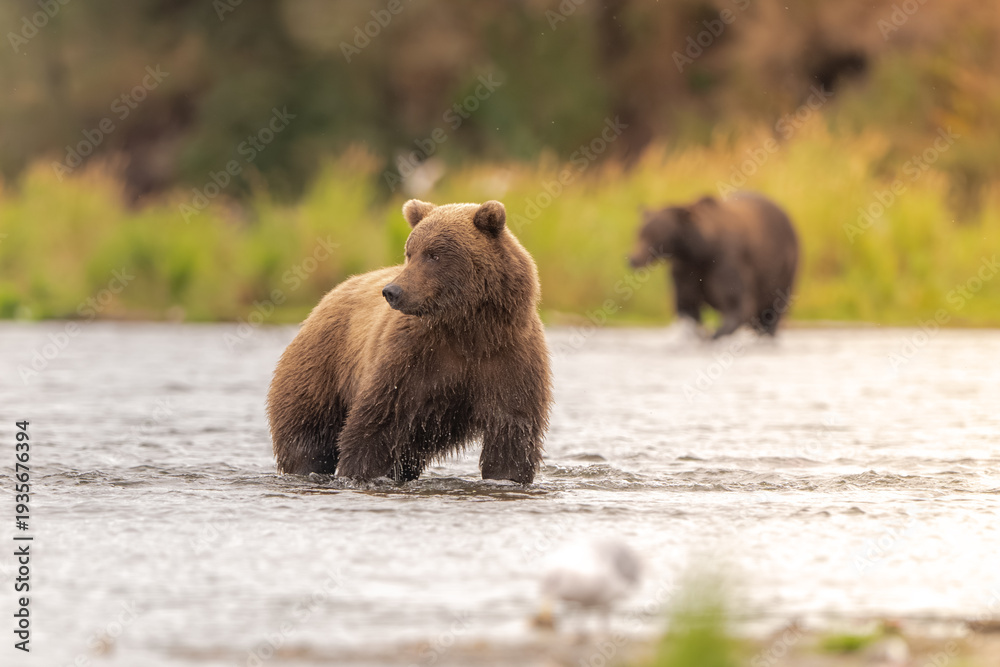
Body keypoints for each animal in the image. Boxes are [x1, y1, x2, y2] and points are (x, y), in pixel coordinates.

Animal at [267, 199, 552, 484]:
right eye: (409, 252)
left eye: (434, 254)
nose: (392, 291)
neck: (466, 328)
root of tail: (325, 299)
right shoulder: (410, 357)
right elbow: (377, 421)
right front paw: (359, 472)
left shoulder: (508, 355)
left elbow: (511, 434)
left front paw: (507, 474)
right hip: (321, 368)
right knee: (307, 435)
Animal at [628, 192, 798, 338]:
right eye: (639, 233)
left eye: (654, 234)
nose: (631, 259)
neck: (701, 252)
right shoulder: (686, 271)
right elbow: (687, 306)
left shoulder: (725, 263)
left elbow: (736, 304)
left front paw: (714, 335)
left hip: (782, 269)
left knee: (772, 309)